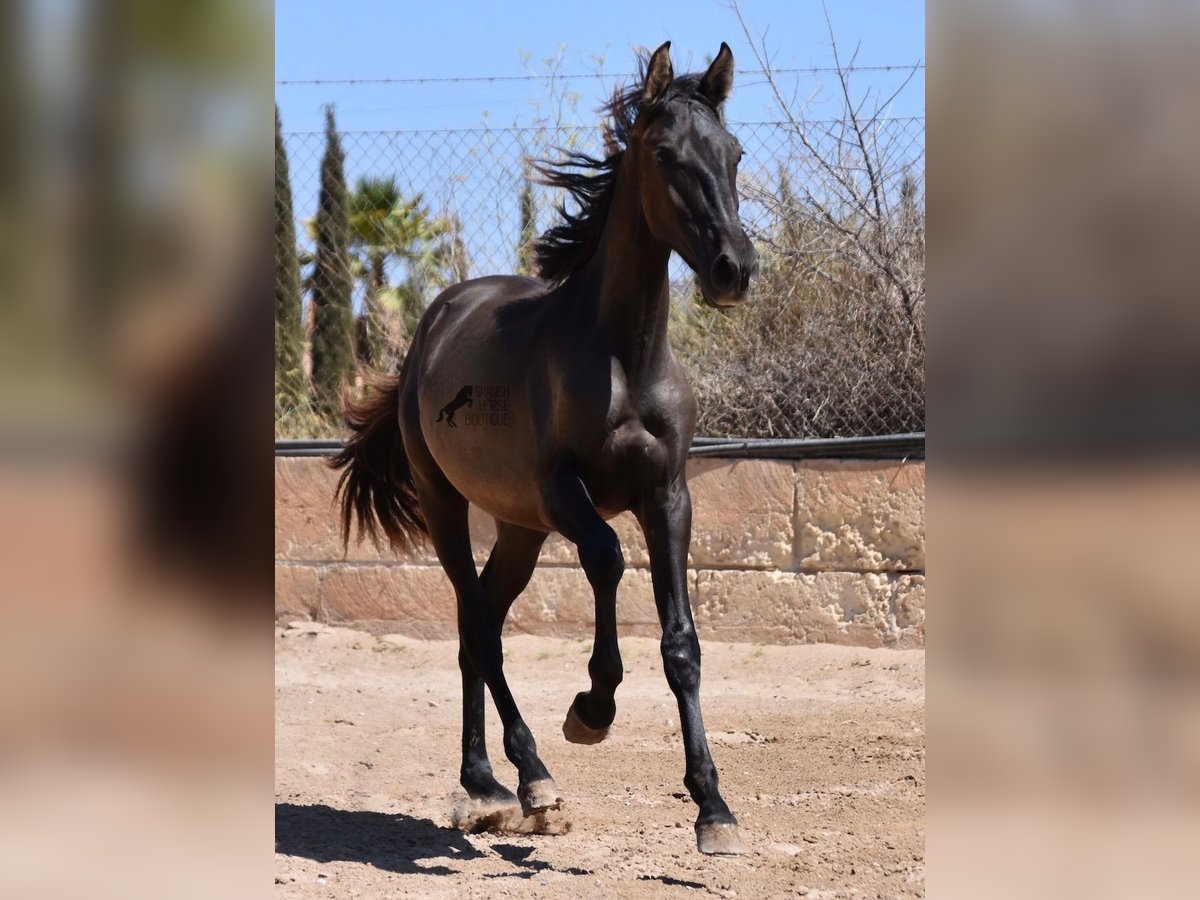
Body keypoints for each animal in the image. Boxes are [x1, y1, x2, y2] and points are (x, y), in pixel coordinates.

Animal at [328, 40, 758, 859]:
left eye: (735, 152)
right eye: (664, 154)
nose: (734, 270)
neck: (624, 355)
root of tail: (431, 327)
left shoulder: (668, 496)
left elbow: (681, 643)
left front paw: (714, 809)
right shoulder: (565, 493)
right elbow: (607, 563)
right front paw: (591, 707)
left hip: (519, 531)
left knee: (478, 628)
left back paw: (489, 784)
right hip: (446, 506)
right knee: (478, 628)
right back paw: (529, 776)